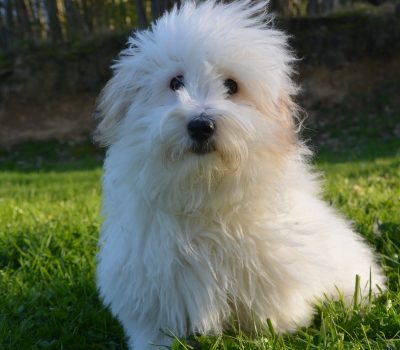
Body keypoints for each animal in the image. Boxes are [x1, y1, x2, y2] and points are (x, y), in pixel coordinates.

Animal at [95, 1, 386, 348]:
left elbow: (269, 315)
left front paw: (271, 333)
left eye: (232, 86)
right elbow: (154, 328)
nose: (201, 125)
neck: (202, 190)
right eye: (175, 82)